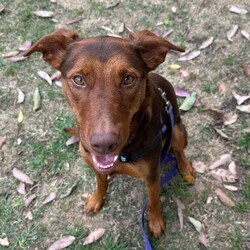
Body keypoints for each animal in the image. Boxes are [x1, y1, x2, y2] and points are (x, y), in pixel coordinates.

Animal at [23, 28, 195, 237]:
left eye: (128, 79)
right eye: (78, 79)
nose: (104, 145)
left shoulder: (152, 175)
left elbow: (153, 200)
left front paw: (155, 221)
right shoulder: (95, 165)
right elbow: (101, 183)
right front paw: (97, 199)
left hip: (178, 131)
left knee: (179, 149)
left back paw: (185, 167)